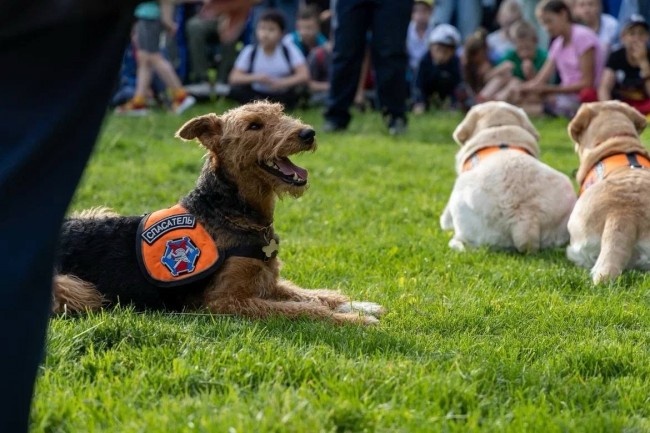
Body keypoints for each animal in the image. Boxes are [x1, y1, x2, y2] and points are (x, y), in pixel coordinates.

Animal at [54, 102, 384, 324]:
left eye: (280, 112)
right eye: (254, 125)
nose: (308, 133)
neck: (232, 213)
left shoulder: (266, 282)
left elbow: (312, 294)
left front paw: (359, 306)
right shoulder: (225, 301)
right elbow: (306, 309)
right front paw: (355, 321)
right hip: (76, 290)